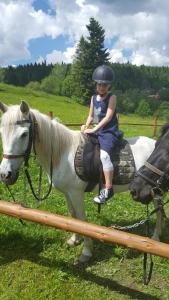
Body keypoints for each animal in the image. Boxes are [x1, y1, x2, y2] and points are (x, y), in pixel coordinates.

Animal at [0, 102, 158, 262]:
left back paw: (155, 239)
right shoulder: (67, 193)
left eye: (24, 134)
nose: (5, 174)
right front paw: (74, 240)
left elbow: (82, 220)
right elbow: (73, 216)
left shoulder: (76, 193)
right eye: (1, 132)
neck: (63, 153)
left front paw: (86, 252)